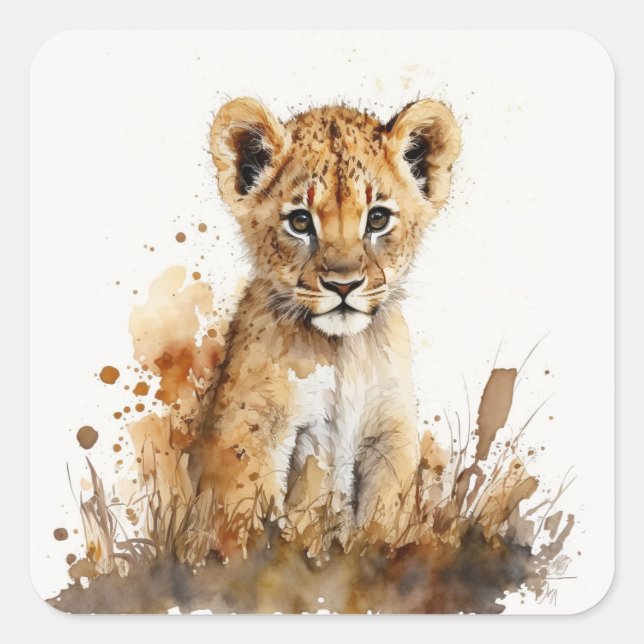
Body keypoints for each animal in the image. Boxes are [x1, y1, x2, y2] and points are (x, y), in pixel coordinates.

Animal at [178, 97, 461, 562]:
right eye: (300, 222)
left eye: (377, 219)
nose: (343, 285)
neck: (344, 352)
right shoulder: (253, 423)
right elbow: (239, 511)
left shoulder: (391, 432)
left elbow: (385, 513)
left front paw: (376, 552)